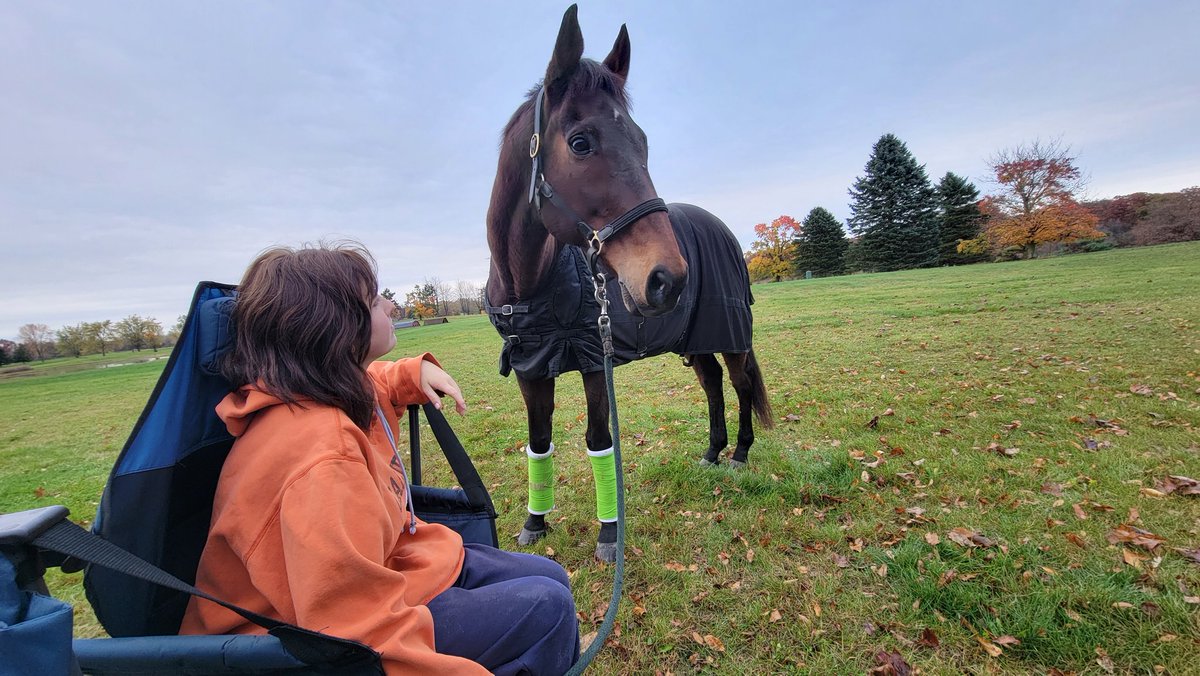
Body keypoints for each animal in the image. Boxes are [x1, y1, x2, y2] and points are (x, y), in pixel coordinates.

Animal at [482, 7, 772, 564]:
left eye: (643, 143)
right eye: (580, 142)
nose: (668, 277)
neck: (530, 284)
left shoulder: (596, 362)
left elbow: (599, 441)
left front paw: (609, 535)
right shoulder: (532, 369)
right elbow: (539, 441)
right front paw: (534, 523)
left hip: (730, 333)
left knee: (741, 383)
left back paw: (741, 454)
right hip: (694, 339)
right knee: (713, 385)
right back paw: (712, 451)